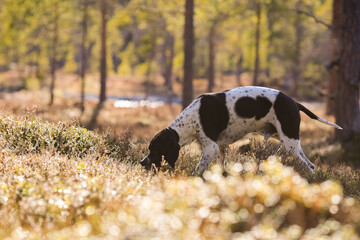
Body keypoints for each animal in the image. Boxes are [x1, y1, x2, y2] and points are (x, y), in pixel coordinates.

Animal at [139, 86, 342, 174]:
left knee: (310, 166)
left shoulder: (210, 148)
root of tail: (295, 103)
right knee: (310, 165)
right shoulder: (220, 148)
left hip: (289, 142)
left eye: (154, 149)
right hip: (286, 140)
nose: (142, 162)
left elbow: (198, 170)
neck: (193, 118)